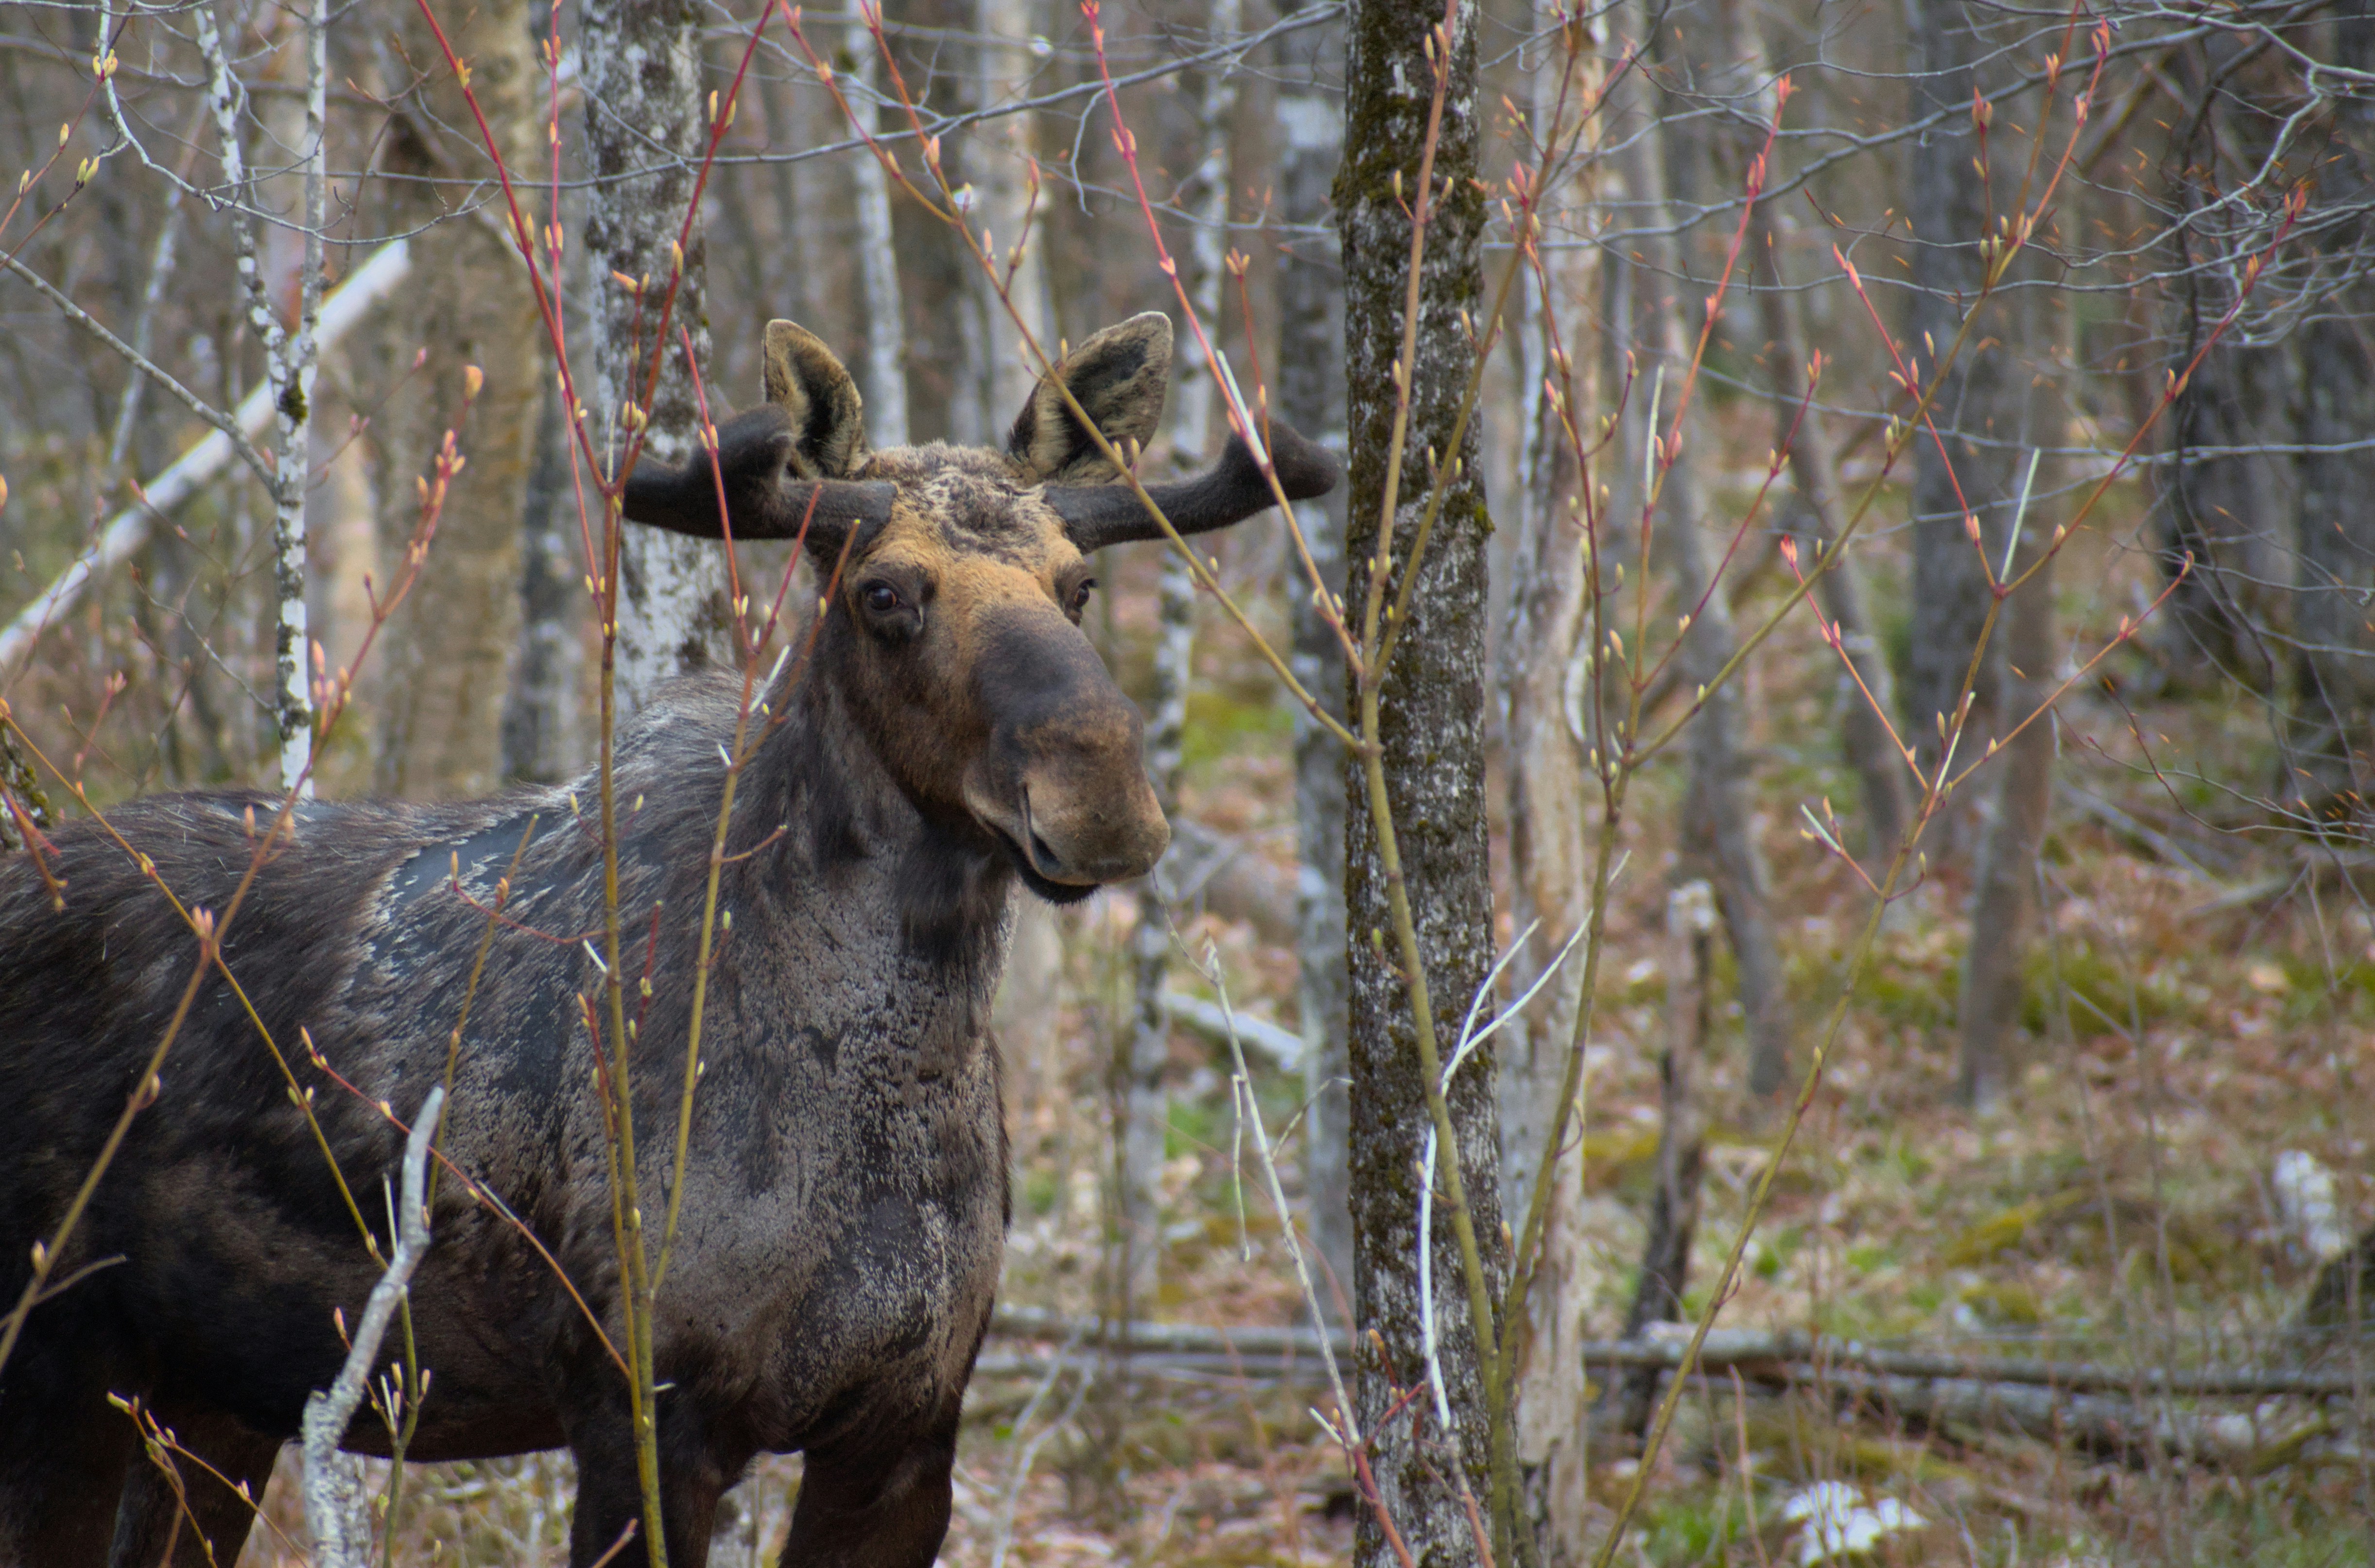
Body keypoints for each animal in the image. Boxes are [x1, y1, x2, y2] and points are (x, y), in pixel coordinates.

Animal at [0, 311, 1339, 1568]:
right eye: (884, 593)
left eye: (1079, 584)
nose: (1103, 788)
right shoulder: (643, 1412)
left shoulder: (908, 1428)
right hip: (59, 1358)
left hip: (211, 1400)